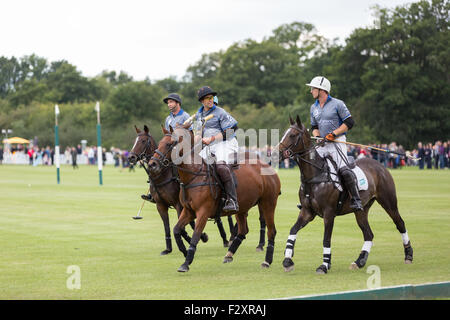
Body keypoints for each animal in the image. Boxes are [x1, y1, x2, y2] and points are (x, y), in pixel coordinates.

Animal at [127, 125, 232, 255]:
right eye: (134, 141)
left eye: (142, 141)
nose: (130, 157)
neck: (162, 175)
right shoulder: (161, 205)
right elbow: (167, 226)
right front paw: (168, 249)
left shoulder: (179, 204)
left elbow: (184, 227)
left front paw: (200, 237)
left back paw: (228, 238)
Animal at [149, 124, 282, 272]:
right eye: (159, 143)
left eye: (170, 144)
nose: (152, 164)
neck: (193, 176)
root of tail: (268, 165)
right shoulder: (188, 211)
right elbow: (176, 230)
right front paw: (184, 251)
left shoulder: (203, 212)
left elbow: (195, 235)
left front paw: (186, 262)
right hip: (242, 208)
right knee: (243, 231)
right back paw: (229, 255)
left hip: (268, 203)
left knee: (271, 231)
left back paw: (267, 261)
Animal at [278, 116, 414, 274]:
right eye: (284, 133)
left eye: (292, 135)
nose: (277, 153)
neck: (315, 176)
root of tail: (380, 165)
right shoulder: (307, 212)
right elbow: (293, 230)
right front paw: (287, 260)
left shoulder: (329, 213)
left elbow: (326, 239)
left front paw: (324, 266)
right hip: (361, 209)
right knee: (368, 234)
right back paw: (359, 261)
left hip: (388, 201)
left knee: (400, 223)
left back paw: (409, 255)